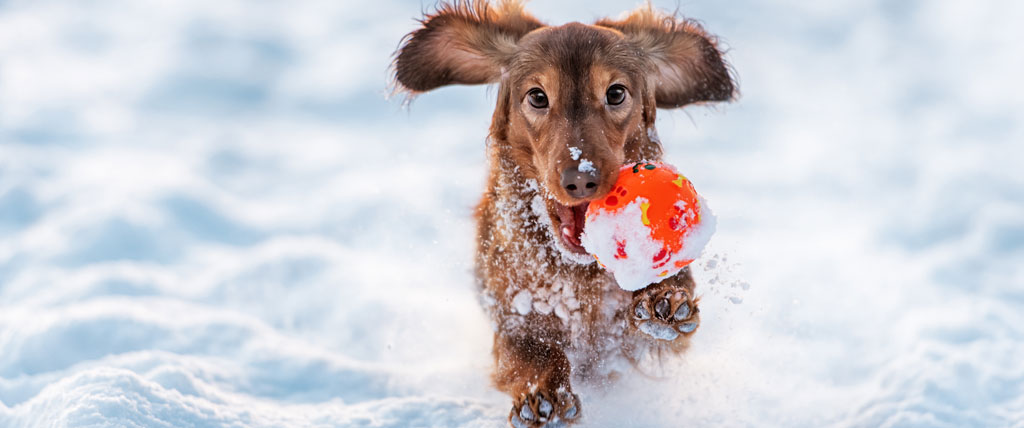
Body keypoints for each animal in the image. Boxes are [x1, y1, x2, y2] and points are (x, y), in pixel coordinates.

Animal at [391, 2, 737, 423]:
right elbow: (529, 351)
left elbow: (666, 315)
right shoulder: (510, 315)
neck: (577, 276)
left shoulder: (636, 345)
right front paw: (543, 394)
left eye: (616, 93)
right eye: (537, 97)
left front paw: (664, 300)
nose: (581, 178)